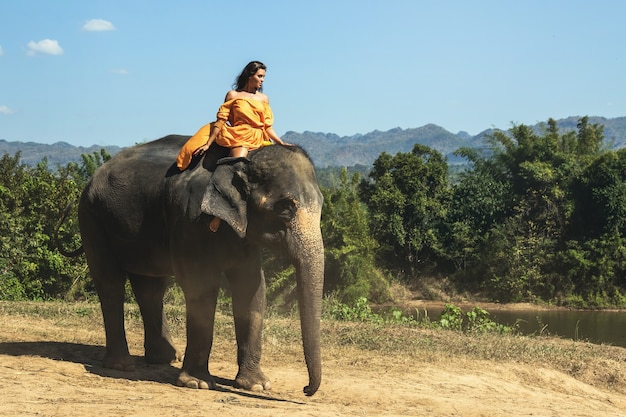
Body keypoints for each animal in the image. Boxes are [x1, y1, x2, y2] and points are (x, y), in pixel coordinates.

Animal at [61, 135, 324, 394]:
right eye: (285, 207)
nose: (305, 389)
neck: (242, 159)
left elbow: (252, 287)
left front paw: (256, 385)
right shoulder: (190, 219)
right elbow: (201, 286)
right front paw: (197, 383)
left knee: (151, 288)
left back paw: (165, 358)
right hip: (92, 220)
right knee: (110, 282)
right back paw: (122, 365)